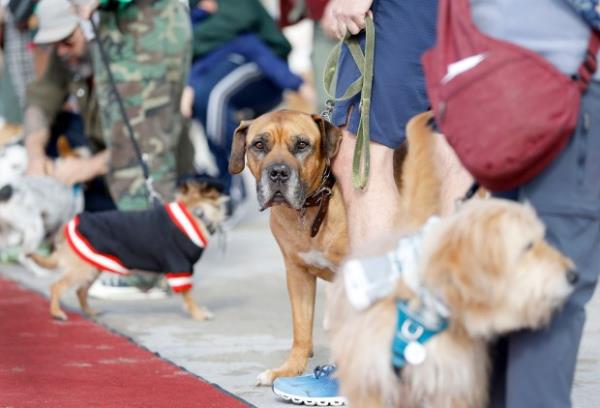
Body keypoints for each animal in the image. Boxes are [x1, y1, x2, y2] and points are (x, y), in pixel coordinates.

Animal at [227, 110, 442, 384]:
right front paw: (290, 368)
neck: (310, 207)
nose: (278, 172)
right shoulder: (297, 274)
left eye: (301, 144)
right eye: (259, 145)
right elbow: (301, 326)